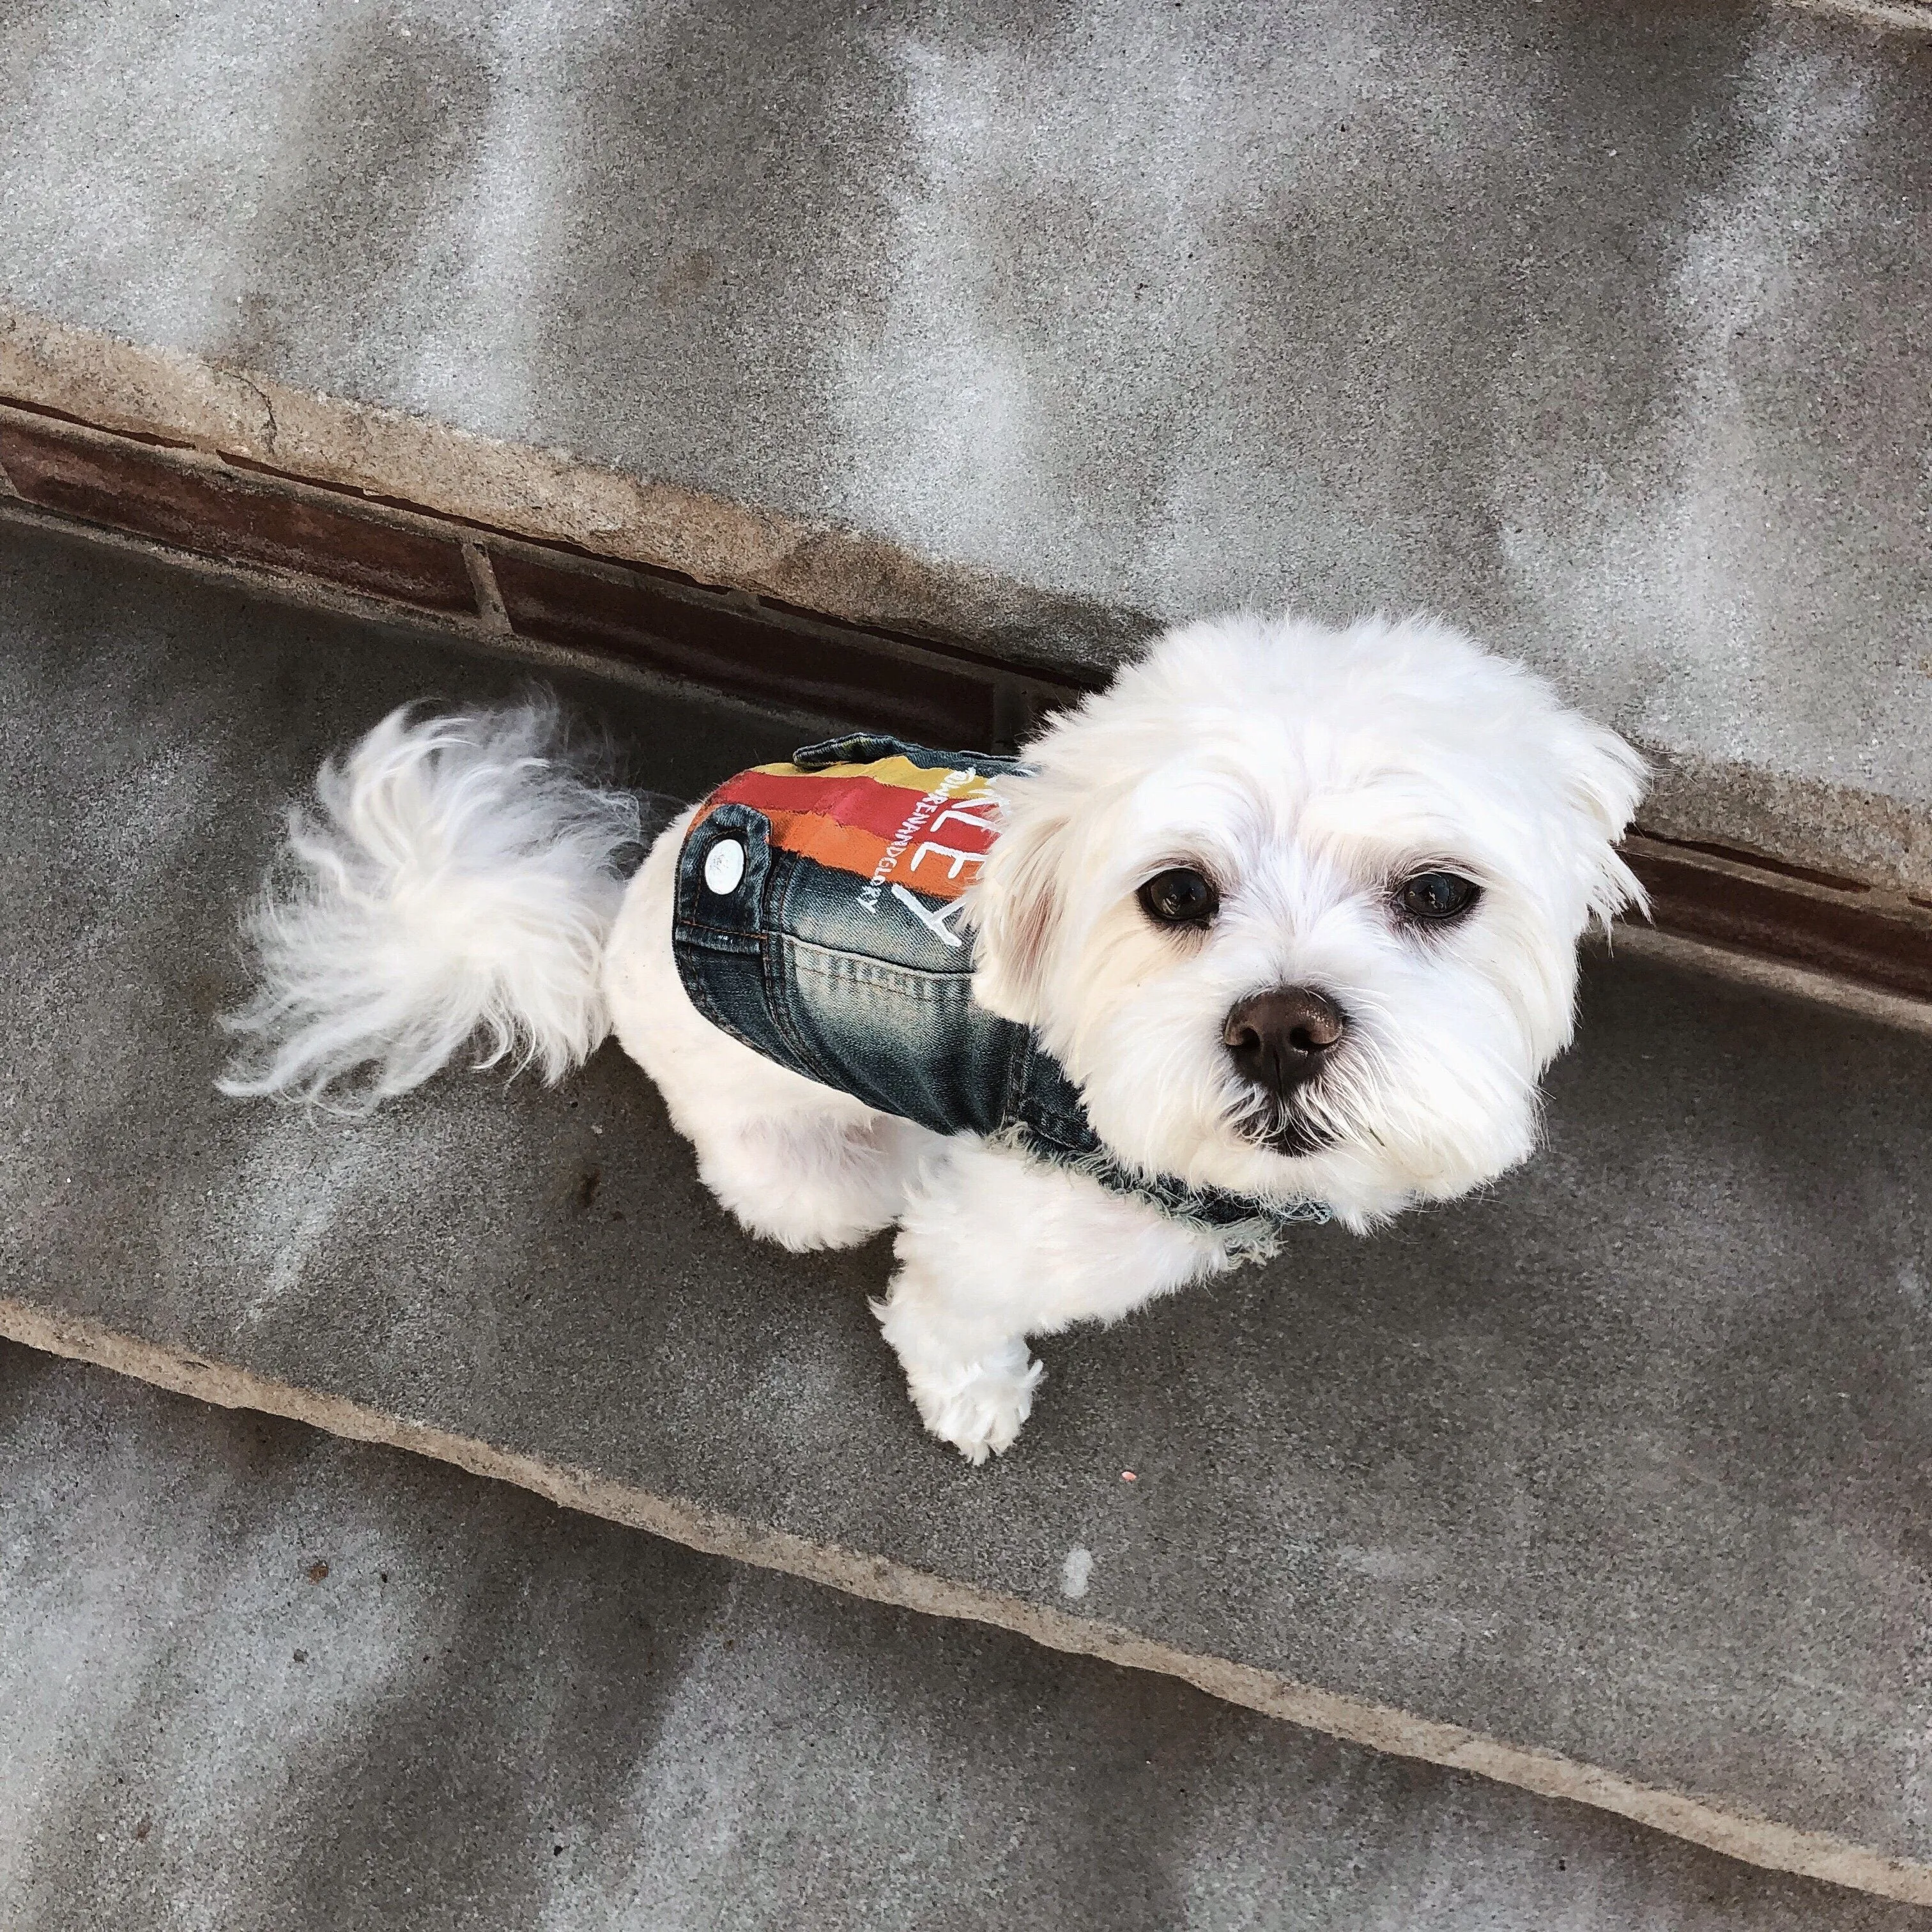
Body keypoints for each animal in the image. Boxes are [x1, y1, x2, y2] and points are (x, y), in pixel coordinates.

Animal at [226, 618, 1646, 1460]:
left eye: (1438, 891)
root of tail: (611, 915)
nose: (1281, 1026)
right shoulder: (999, 1232)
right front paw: (974, 1398)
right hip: (809, 1170)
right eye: (1174, 894)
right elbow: (945, 1308)